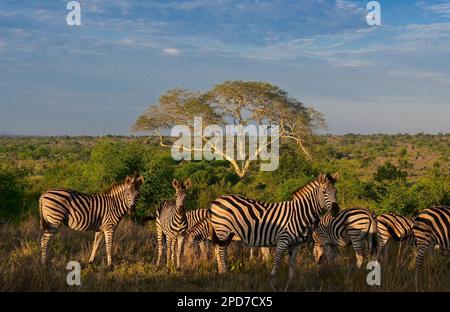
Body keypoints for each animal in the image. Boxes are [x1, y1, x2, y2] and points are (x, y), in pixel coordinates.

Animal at [209, 171, 340, 288]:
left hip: (228, 234)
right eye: (324, 192)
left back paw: (221, 273)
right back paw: (225, 275)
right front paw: (272, 281)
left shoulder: (296, 244)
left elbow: (292, 264)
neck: (299, 214)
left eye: (335, 192)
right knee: (220, 252)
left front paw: (290, 283)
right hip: (222, 231)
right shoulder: (283, 240)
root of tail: (217, 199)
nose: (336, 210)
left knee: (219, 251)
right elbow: (277, 261)